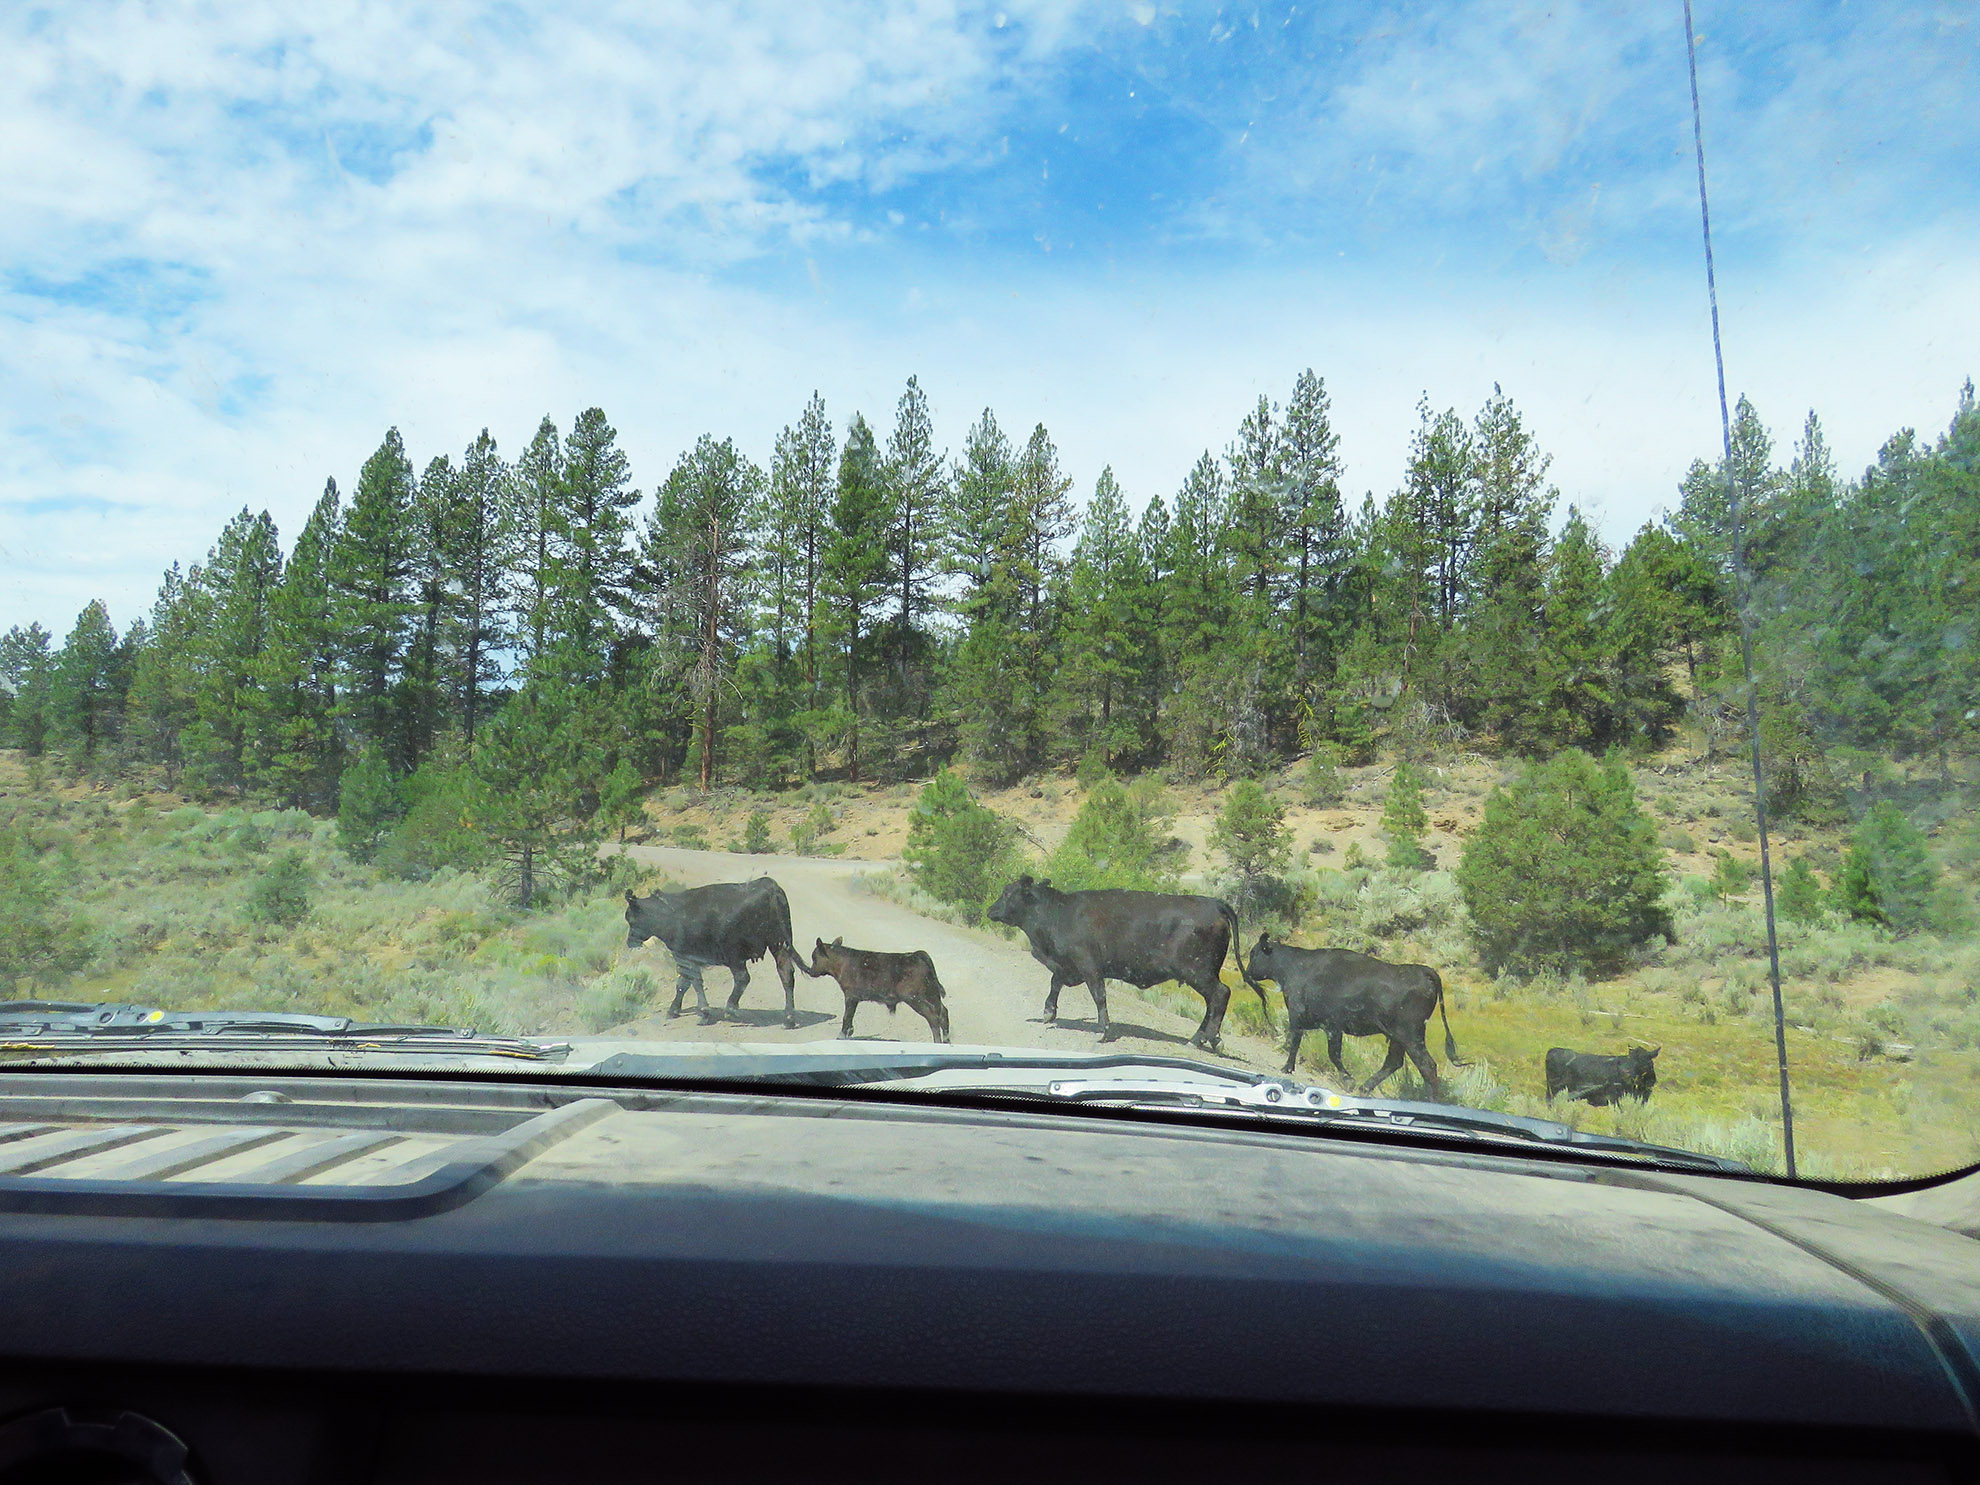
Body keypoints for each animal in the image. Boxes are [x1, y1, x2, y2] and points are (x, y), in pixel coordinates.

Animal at [621, 879, 799, 1029]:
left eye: (630, 919)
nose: (629, 942)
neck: (671, 914)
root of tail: (768, 885)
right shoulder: (684, 957)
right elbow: (683, 983)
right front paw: (674, 1009)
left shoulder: (686, 956)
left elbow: (694, 982)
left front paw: (704, 1013)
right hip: (779, 945)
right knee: (786, 974)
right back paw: (789, 1018)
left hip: (734, 954)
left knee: (743, 978)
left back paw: (731, 1009)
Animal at [807, 942, 954, 1045]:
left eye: (814, 957)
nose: (811, 971)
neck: (842, 963)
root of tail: (916, 955)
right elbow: (849, 1017)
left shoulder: (851, 996)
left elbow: (846, 1017)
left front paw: (841, 1036)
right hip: (932, 995)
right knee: (943, 1013)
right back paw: (946, 1042)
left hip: (915, 999)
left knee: (933, 1018)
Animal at [986, 879, 1267, 1053]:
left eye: (1008, 893)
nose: (990, 910)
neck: (1060, 913)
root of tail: (1213, 902)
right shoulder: (1067, 967)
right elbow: (1055, 983)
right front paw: (1048, 1012)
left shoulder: (1089, 967)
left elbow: (1099, 995)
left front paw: (1102, 1030)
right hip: (1203, 975)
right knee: (1212, 1003)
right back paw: (1198, 1039)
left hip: (1198, 973)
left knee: (1220, 995)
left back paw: (1210, 1039)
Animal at [1243, 934, 1465, 1100]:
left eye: (1253, 953)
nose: (1246, 974)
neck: (1294, 966)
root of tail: (1424, 970)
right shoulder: (1326, 1026)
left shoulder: (1316, 1022)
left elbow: (1313, 1047)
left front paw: (1288, 1068)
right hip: (1398, 1038)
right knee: (1393, 1062)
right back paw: (1364, 1088)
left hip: (1411, 1036)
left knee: (1427, 1065)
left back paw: (1431, 1100)